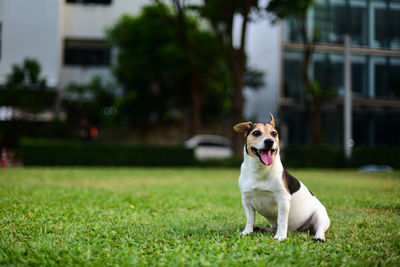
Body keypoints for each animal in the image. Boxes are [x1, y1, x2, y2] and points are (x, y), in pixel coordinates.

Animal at [233, 113, 330, 243]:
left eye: (274, 133)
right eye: (256, 133)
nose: (269, 141)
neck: (260, 170)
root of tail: (298, 230)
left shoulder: (283, 199)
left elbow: (282, 220)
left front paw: (281, 236)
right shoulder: (246, 200)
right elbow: (250, 219)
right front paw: (247, 232)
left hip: (320, 217)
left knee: (319, 228)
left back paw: (319, 236)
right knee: (273, 227)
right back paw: (262, 229)